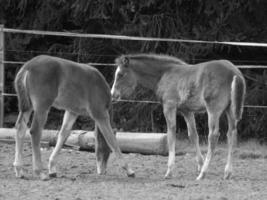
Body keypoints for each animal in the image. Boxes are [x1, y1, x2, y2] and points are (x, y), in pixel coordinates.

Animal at [111, 53, 247, 180]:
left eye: (120, 74)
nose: (113, 94)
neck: (164, 74)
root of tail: (234, 72)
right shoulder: (187, 110)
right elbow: (193, 135)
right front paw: (199, 164)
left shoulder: (169, 106)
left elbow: (171, 134)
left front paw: (169, 171)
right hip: (230, 110)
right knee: (231, 134)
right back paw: (227, 173)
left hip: (213, 110)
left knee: (213, 136)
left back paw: (203, 174)